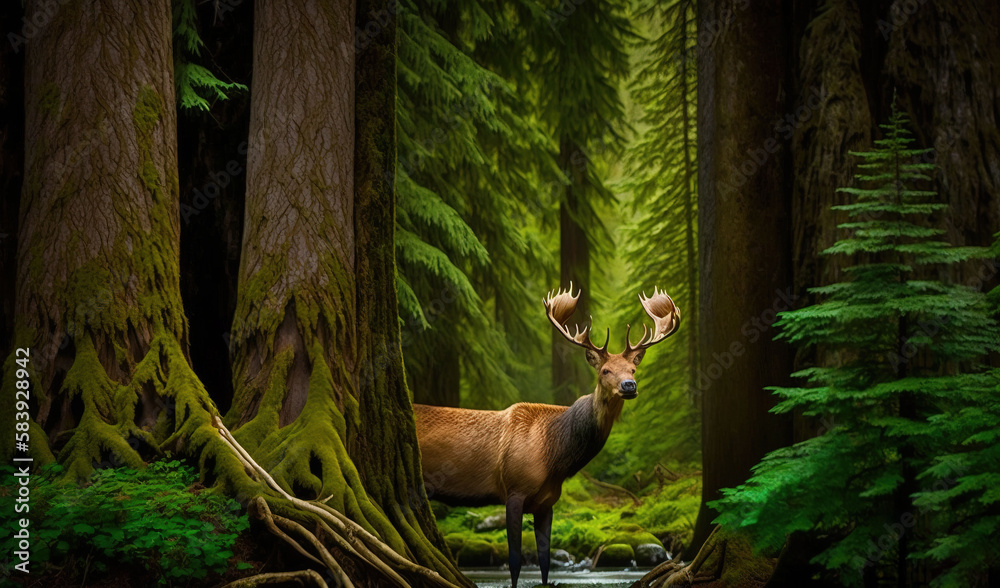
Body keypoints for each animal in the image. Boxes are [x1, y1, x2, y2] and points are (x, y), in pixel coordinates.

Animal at [413, 284, 680, 588]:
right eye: (605, 370)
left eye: (633, 369)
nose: (629, 385)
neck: (555, 458)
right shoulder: (514, 491)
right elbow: (515, 561)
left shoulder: (547, 502)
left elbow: (544, 562)